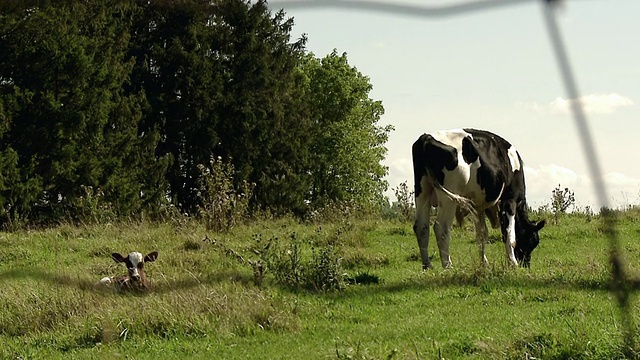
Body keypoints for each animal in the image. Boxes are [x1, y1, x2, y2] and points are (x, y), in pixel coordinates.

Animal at [410, 128, 544, 268]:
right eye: (532, 241)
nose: (526, 264)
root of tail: (426, 137)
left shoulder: (478, 206)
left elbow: (482, 234)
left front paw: (484, 262)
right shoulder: (510, 199)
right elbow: (509, 234)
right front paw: (513, 263)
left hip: (422, 190)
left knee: (421, 227)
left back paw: (427, 265)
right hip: (449, 196)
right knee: (441, 227)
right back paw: (448, 265)